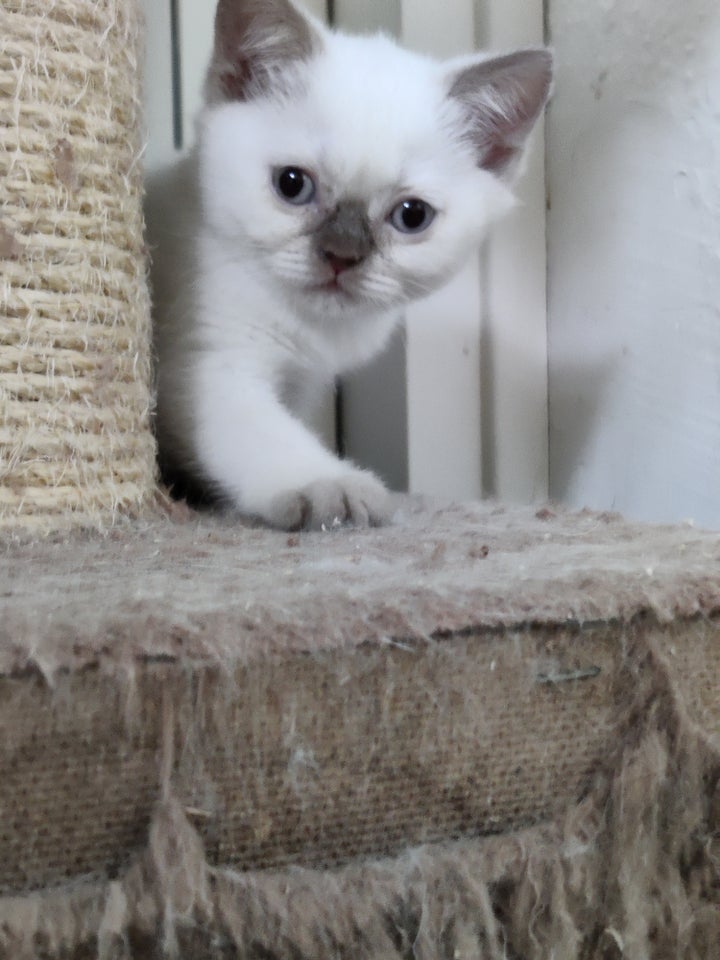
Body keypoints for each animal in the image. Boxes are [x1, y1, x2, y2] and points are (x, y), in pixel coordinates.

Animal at [150, 0, 552, 528]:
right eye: (292, 184)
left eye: (412, 215)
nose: (342, 255)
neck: (310, 326)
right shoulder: (209, 364)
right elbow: (265, 432)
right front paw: (329, 485)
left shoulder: (299, 383)